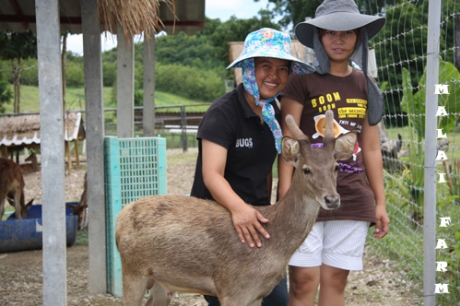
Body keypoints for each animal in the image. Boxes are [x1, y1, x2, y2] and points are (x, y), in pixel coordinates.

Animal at [114, 110, 356, 306]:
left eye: (336, 167)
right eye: (306, 169)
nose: (332, 199)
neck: (272, 246)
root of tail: (120, 217)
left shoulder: (258, 294)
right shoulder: (233, 289)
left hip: (160, 281)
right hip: (132, 269)